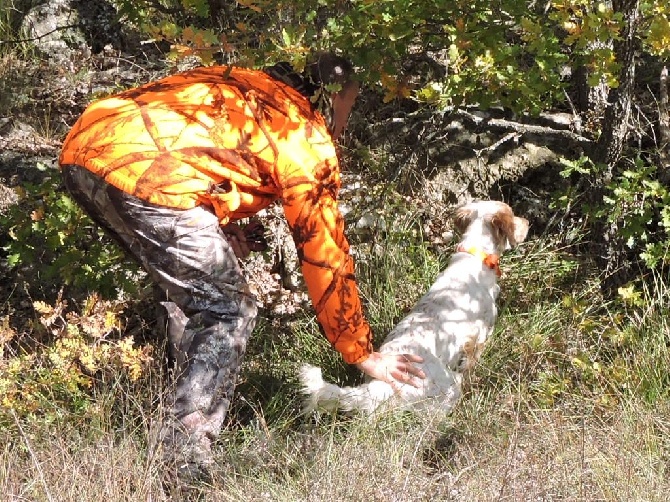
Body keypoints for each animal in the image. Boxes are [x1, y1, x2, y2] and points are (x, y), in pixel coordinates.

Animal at [300, 200, 532, 416]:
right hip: (449, 386)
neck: (475, 256)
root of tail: (381, 385)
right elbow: (471, 363)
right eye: (513, 214)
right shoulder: (479, 337)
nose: (528, 222)